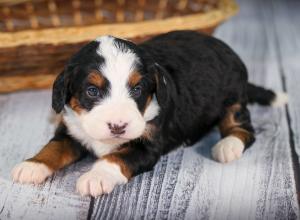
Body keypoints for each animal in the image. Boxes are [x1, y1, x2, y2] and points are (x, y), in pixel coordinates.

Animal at [11, 30, 288, 196]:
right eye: (92, 91)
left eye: (137, 89)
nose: (118, 126)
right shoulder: (72, 129)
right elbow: (54, 147)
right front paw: (33, 165)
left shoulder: (146, 146)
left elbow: (115, 158)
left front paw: (96, 176)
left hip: (233, 99)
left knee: (243, 128)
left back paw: (228, 145)